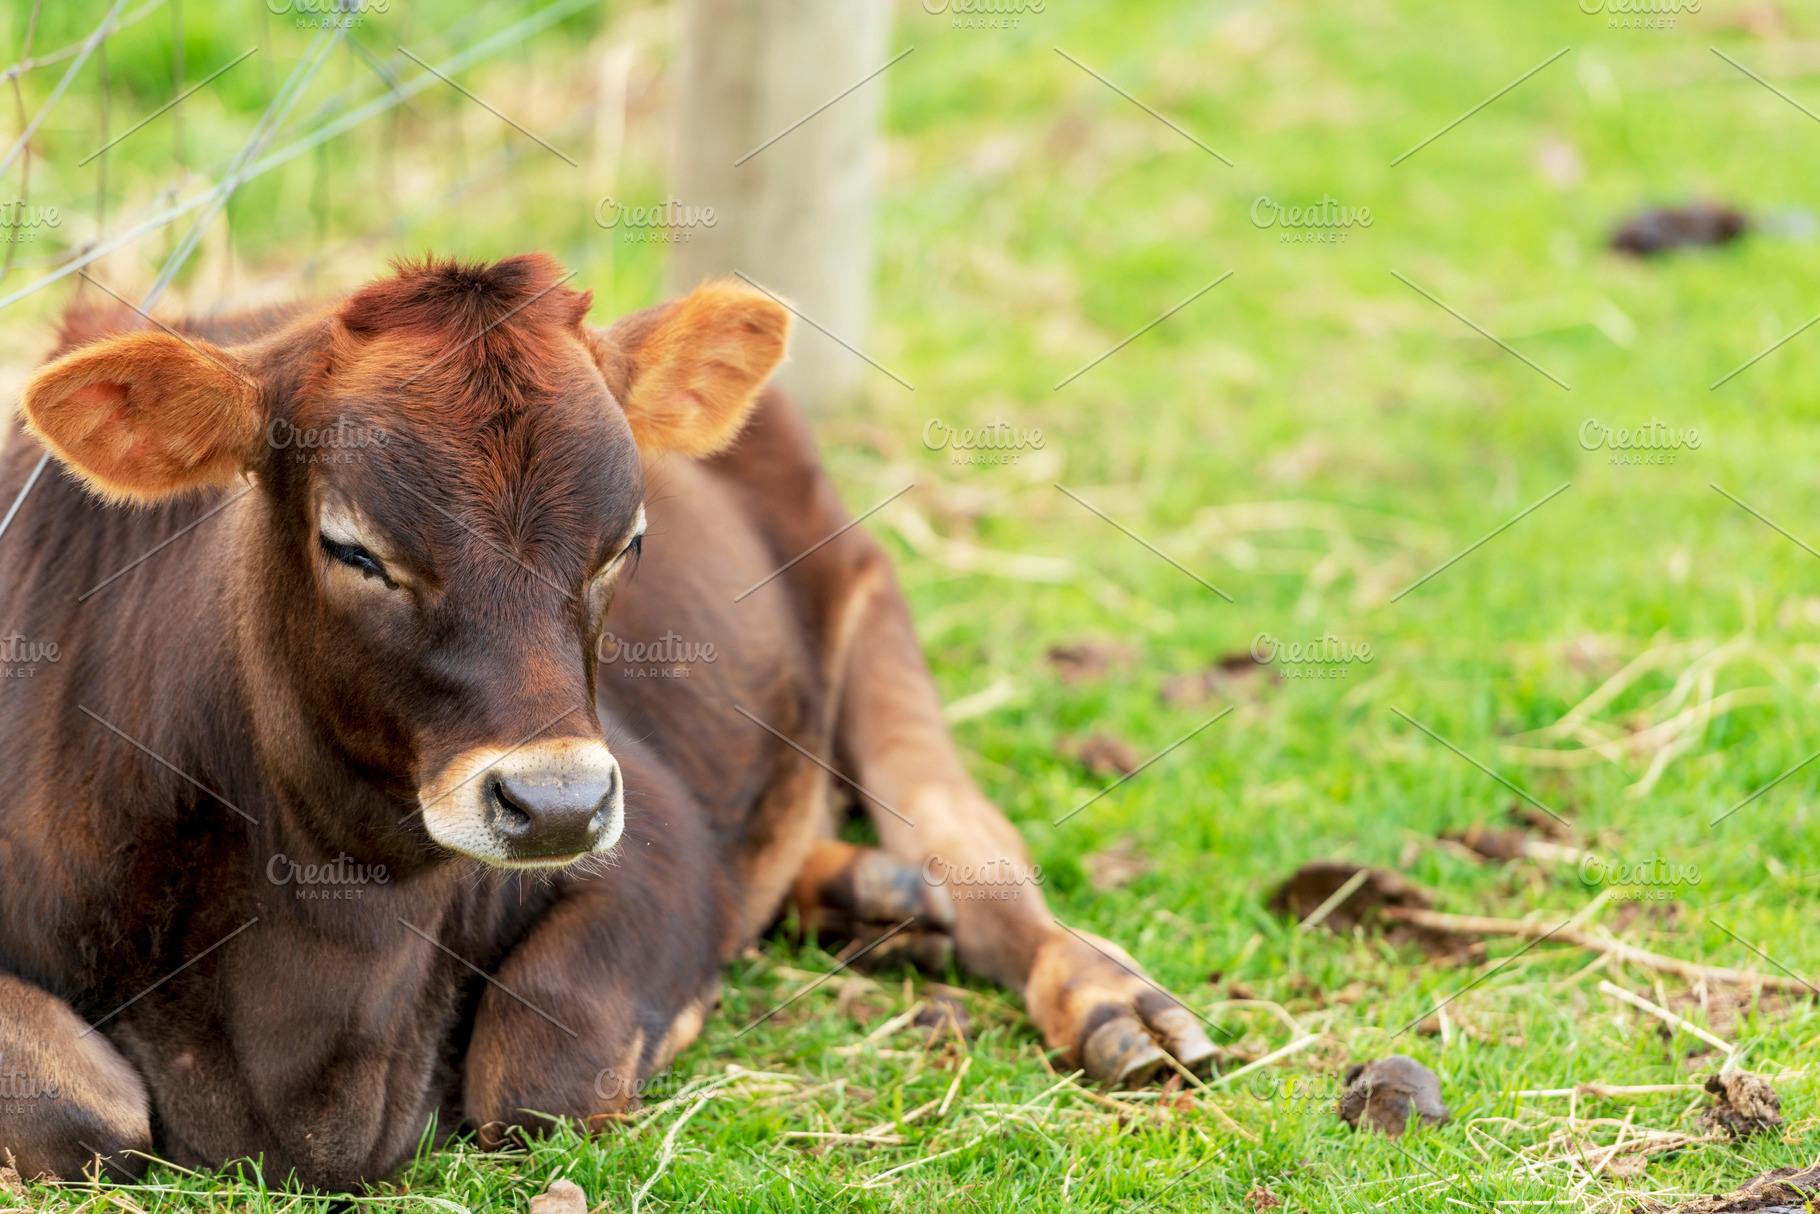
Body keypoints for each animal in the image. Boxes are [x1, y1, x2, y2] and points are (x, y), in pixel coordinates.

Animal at [0, 255, 1215, 1190]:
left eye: (625, 541)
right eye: (353, 547)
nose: (555, 806)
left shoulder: (656, 834)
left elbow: (540, 1066)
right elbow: (82, 1110)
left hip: (868, 602)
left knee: (968, 840)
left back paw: (1109, 1000)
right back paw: (867, 893)